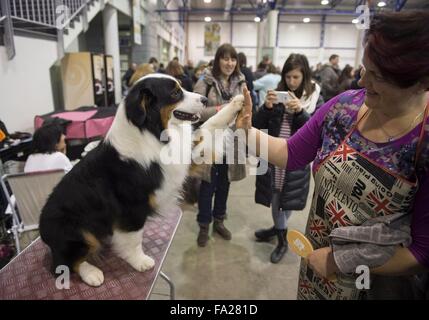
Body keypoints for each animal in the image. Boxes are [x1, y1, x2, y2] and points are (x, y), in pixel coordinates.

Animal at [39, 74, 244, 286]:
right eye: (175, 93)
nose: (204, 100)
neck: (152, 132)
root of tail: (43, 230)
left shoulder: (184, 158)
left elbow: (209, 126)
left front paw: (235, 104)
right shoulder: (132, 206)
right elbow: (134, 238)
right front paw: (140, 261)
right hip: (74, 230)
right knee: (65, 263)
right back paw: (92, 273)